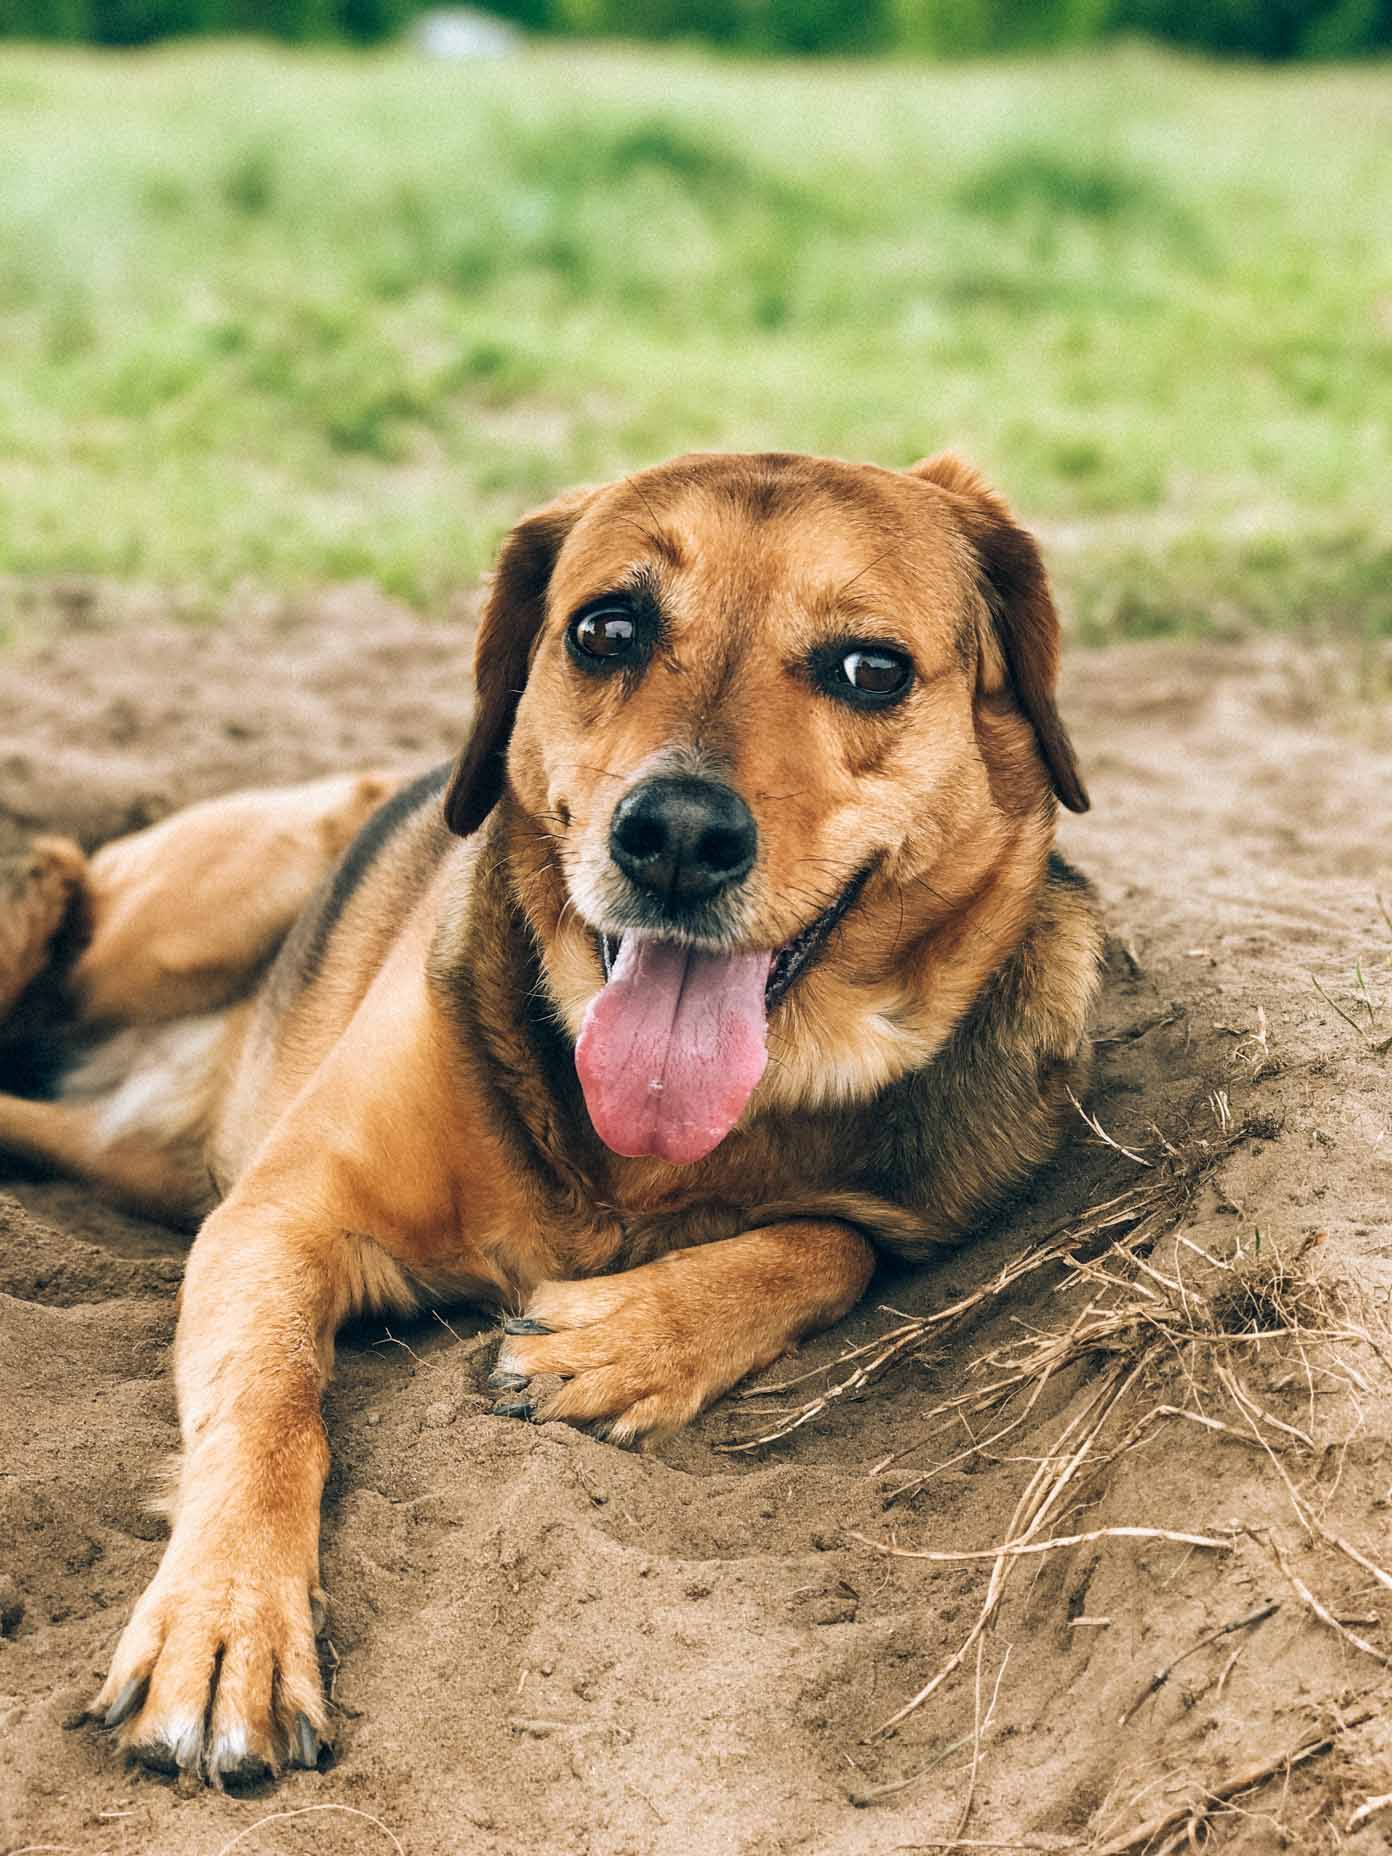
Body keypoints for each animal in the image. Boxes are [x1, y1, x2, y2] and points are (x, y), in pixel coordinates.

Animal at [5, 449, 1106, 1781]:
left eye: (872, 668)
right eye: (606, 628)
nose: (676, 834)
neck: (633, 1160)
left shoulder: (909, 1209)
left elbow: (831, 1240)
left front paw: (618, 1340)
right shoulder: (275, 1219)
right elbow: (270, 1407)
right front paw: (226, 1624)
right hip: (207, 902)